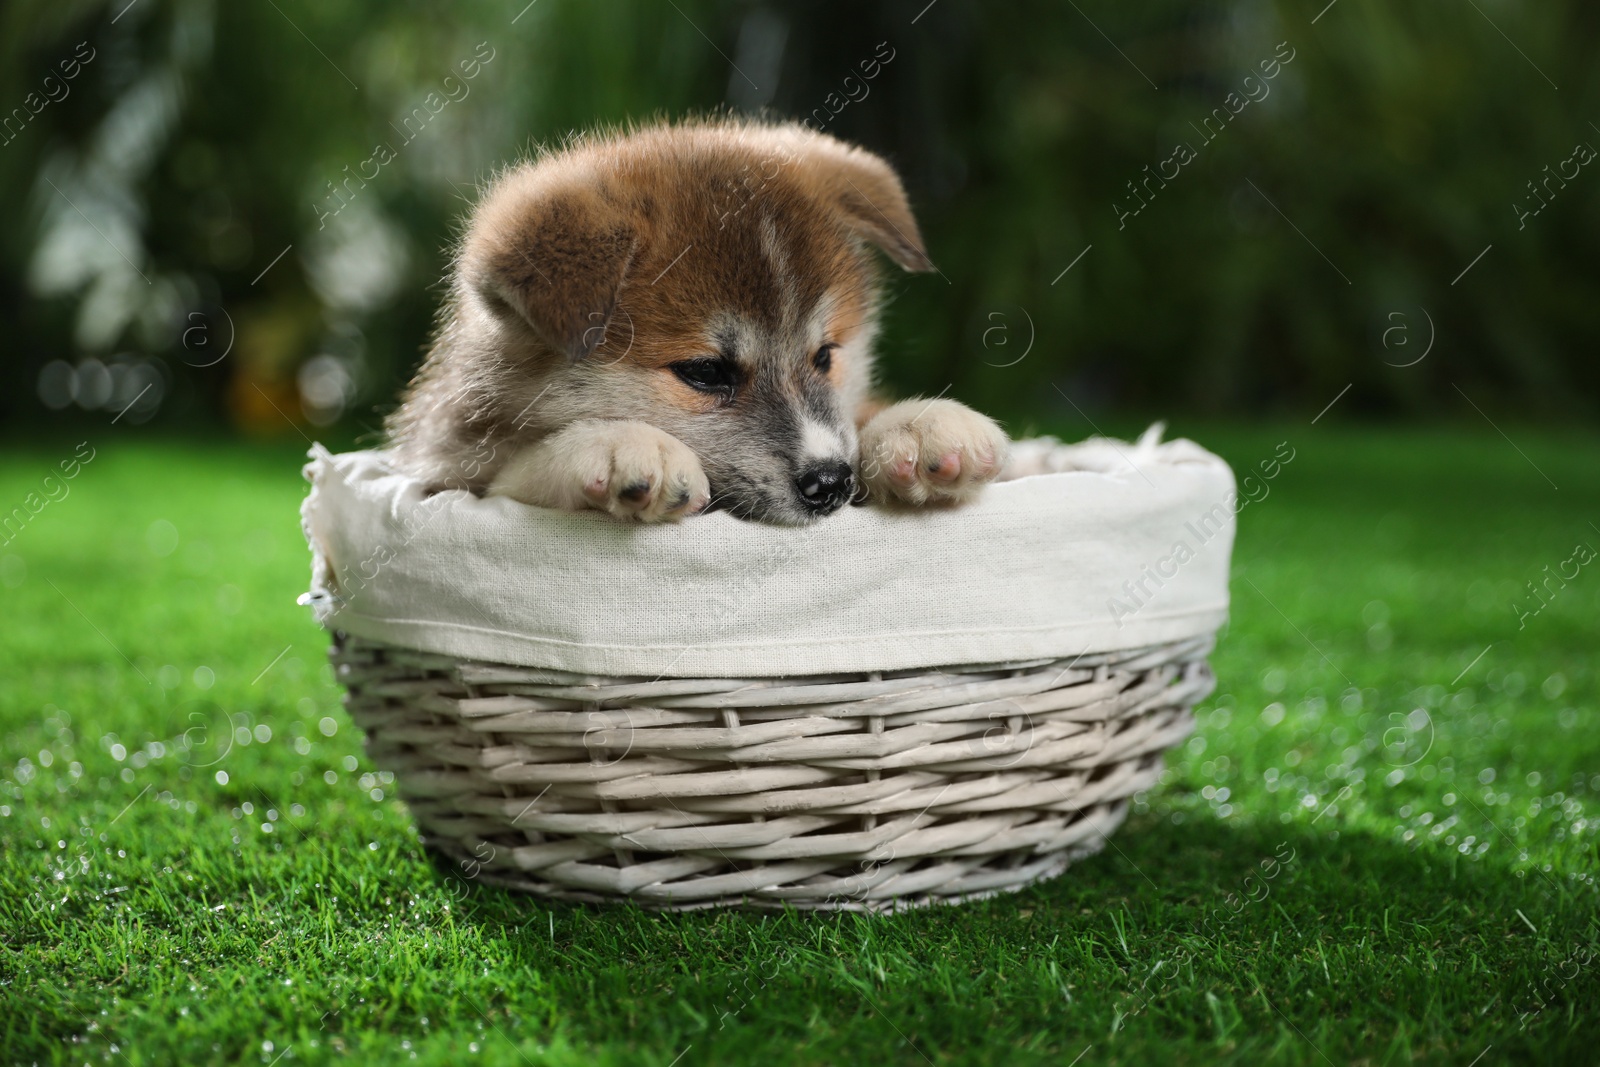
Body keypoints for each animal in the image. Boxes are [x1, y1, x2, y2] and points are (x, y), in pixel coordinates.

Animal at [384, 116, 998, 524]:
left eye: (824, 356)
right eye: (705, 371)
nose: (831, 482)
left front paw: (913, 426)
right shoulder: (451, 475)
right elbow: (517, 470)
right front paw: (619, 444)